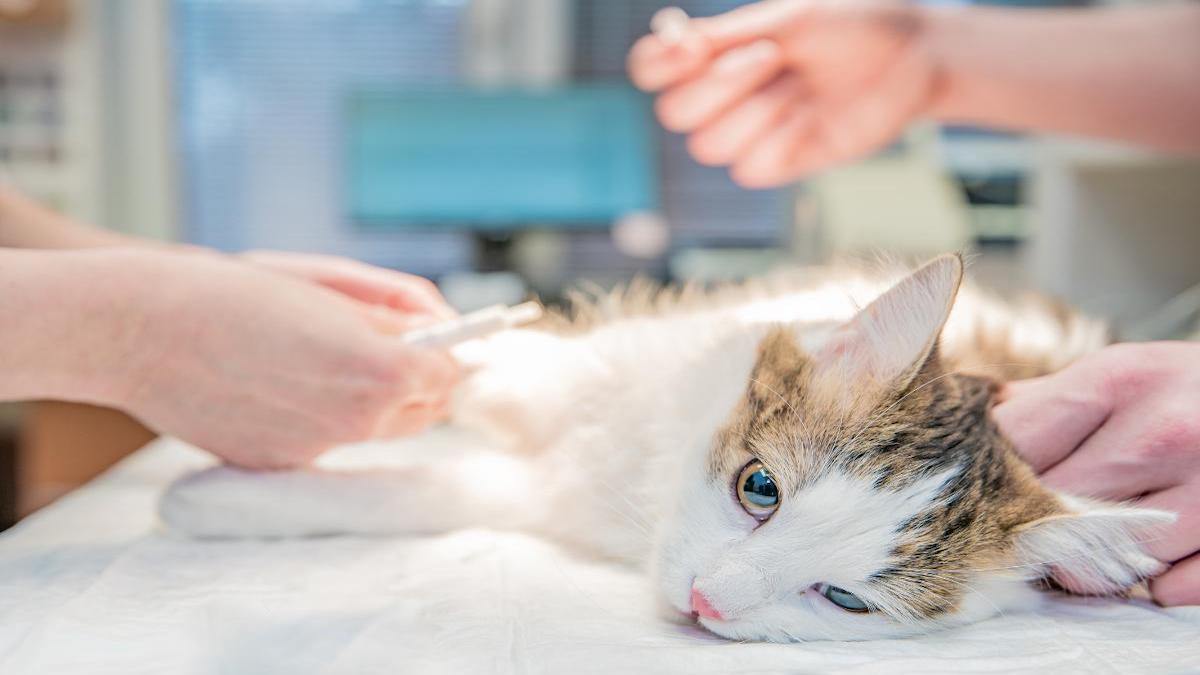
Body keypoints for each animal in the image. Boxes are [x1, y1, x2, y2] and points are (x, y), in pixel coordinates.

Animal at [157, 254, 1171, 638]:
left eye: (844, 599)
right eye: (760, 488)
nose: (704, 600)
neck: (633, 472)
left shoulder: (538, 488)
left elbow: (420, 491)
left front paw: (216, 496)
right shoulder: (595, 369)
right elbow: (480, 353)